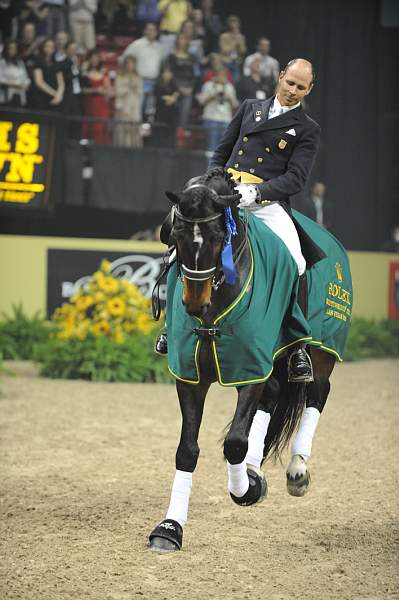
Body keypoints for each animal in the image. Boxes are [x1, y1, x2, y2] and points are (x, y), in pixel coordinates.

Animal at [149, 165, 354, 552]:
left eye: (218, 236)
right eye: (176, 233)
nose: (194, 304)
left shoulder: (250, 369)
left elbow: (234, 444)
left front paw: (247, 490)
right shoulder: (192, 377)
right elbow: (187, 450)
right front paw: (169, 528)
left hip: (321, 352)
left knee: (318, 393)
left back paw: (297, 470)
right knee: (273, 397)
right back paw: (257, 468)